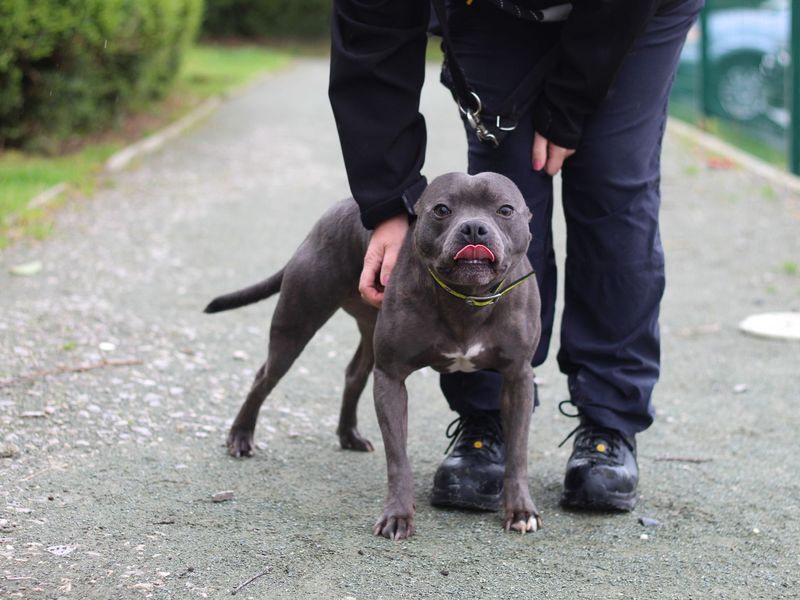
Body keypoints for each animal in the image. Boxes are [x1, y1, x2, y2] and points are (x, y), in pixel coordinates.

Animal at [206, 170, 544, 540]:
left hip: (368, 334)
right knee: (264, 377)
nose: (473, 229)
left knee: (353, 374)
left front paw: (520, 510)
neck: (466, 298)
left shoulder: (518, 378)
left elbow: (518, 452)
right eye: (442, 209)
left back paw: (348, 434)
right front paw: (398, 515)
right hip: (295, 326)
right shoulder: (391, 378)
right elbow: (397, 457)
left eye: (505, 210)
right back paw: (241, 437)